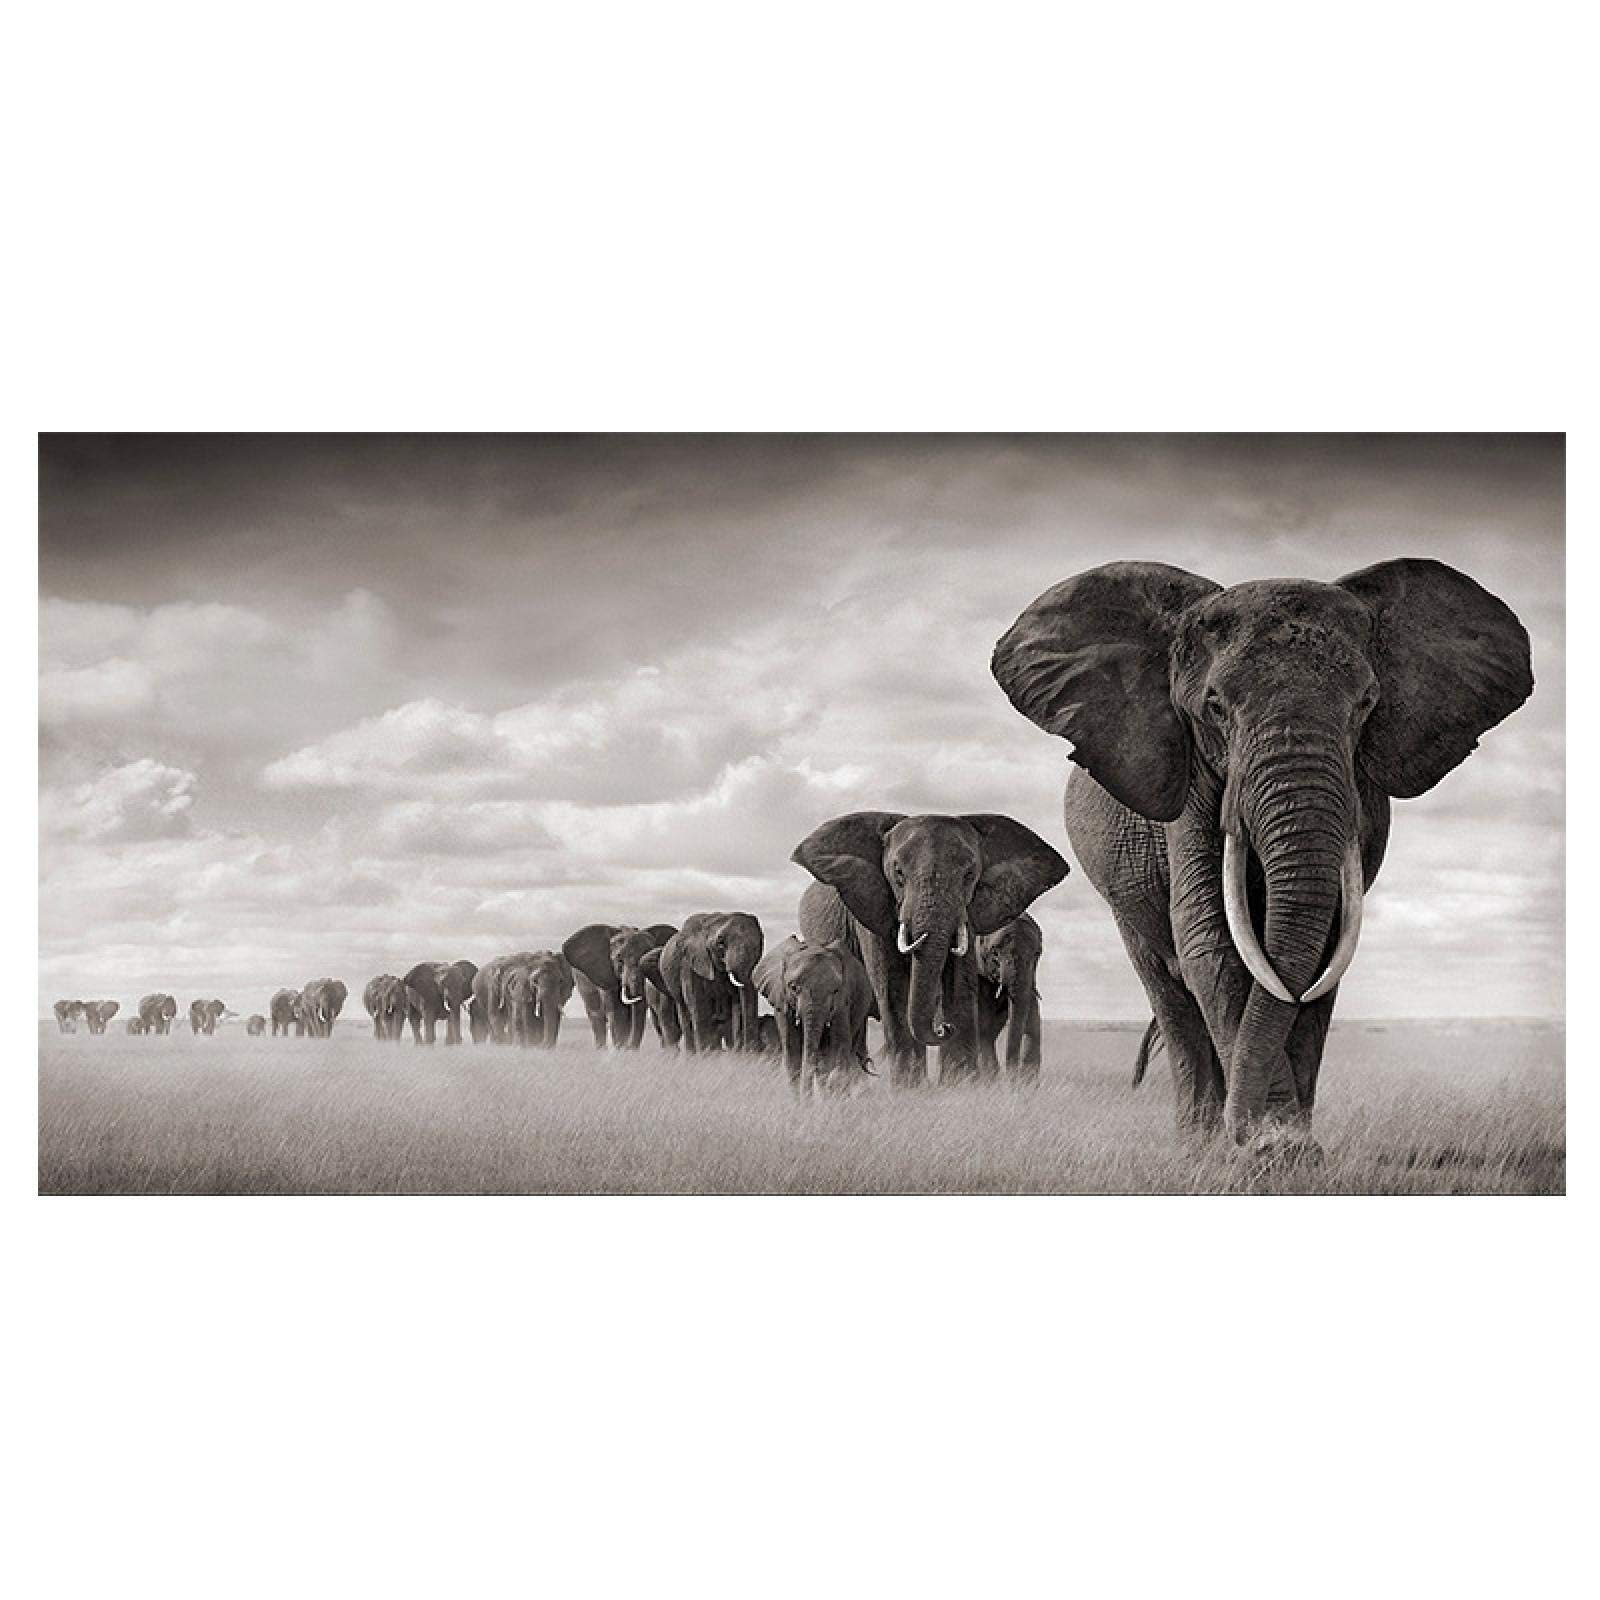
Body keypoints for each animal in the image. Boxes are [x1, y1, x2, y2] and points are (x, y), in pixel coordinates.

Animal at [657, 913, 765, 1053]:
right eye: (720, 943)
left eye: (760, 944)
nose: (750, 1052)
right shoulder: (691, 965)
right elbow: (698, 1004)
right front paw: (705, 1056)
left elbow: (736, 1004)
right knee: (685, 1014)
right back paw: (693, 1054)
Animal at [752, 935, 876, 1097]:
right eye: (793, 987)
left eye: (835, 990)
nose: (807, 1099)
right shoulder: (781, 1000)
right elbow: (792, 1050)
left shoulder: (842, 1002)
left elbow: (838, 1046)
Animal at [973, 914, 1044, 1085]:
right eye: (994, 952)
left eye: (1037, 953)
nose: (1012, 1079)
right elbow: (981, 1024)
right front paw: (990, 1082)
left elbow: (1032, 1023)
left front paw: (1026, 1085)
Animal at [991, 557, 1534, 1154]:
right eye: (1215, 707)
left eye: (1367, 704)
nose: (1250, 1133)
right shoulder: (1190, 781)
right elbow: (1212, 939)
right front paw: (1270, 1150)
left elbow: (1323, 952)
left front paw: (1289, 1147)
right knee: (1169, 993)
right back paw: (1197, 1143)